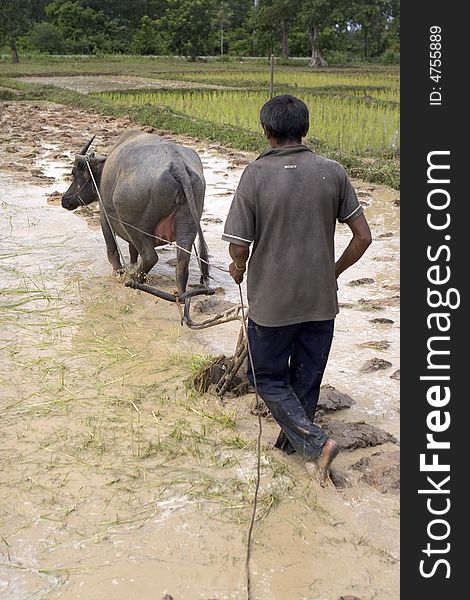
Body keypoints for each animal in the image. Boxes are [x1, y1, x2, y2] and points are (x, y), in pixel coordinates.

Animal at [61, 130, 208, 294]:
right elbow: (132, 252)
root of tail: (177, 165)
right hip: (187, 225)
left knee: (150, 257)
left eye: (74, 173)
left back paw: (135, 280)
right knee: (182, 263)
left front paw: (118, 272)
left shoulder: (105, 218)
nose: (64, 199)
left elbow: (112, 251)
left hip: (135, 227)